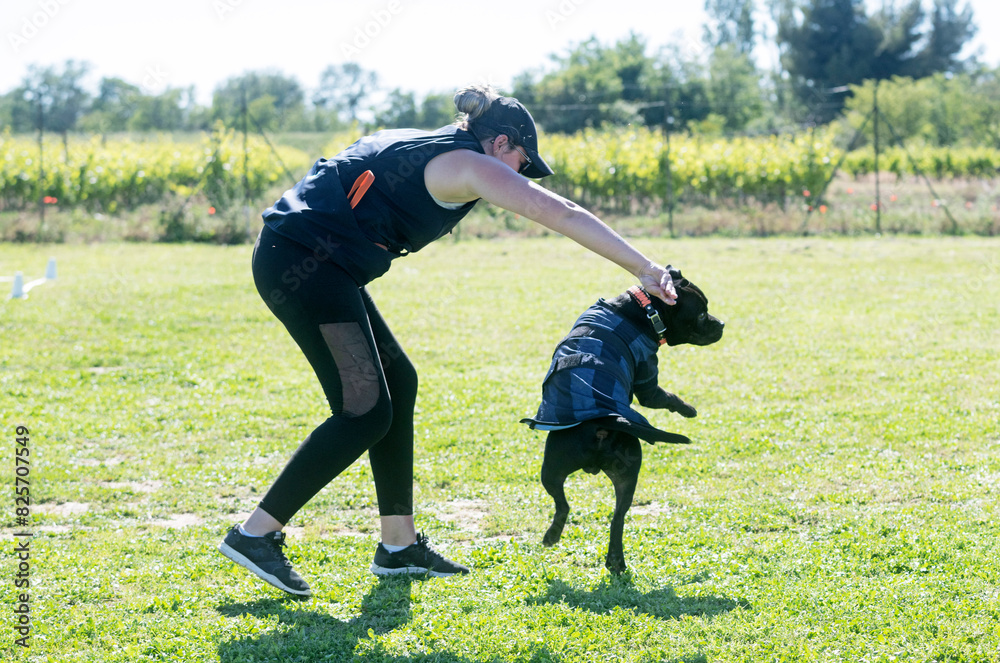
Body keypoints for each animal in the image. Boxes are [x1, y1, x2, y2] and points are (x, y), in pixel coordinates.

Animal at [520, 270, 724, 576]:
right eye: (701, 313)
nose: (721, 324)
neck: (644, 309)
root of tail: (608, 421)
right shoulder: (648, 382)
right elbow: (667, 396)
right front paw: (689, 409)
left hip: (566, 469)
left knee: (583, 510)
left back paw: (573, 544)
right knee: (598, 513)